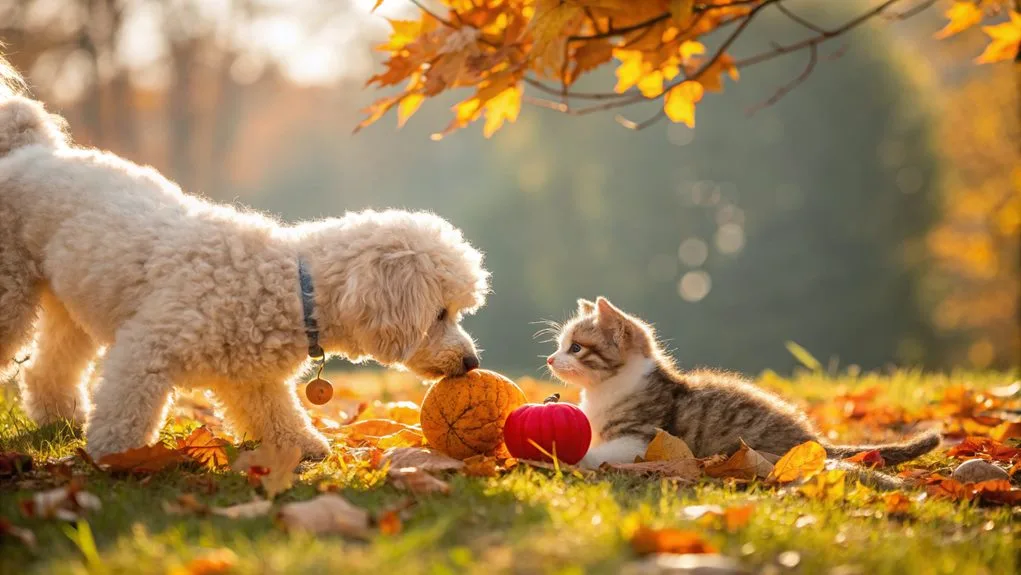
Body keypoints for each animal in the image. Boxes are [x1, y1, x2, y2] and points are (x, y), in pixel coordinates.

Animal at [543, 296, 939, 471]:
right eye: (561, 345)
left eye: (576, 348)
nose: (550, 359)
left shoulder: (642, 439)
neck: (603, 390)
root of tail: (813, 441)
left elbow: (602, 451)